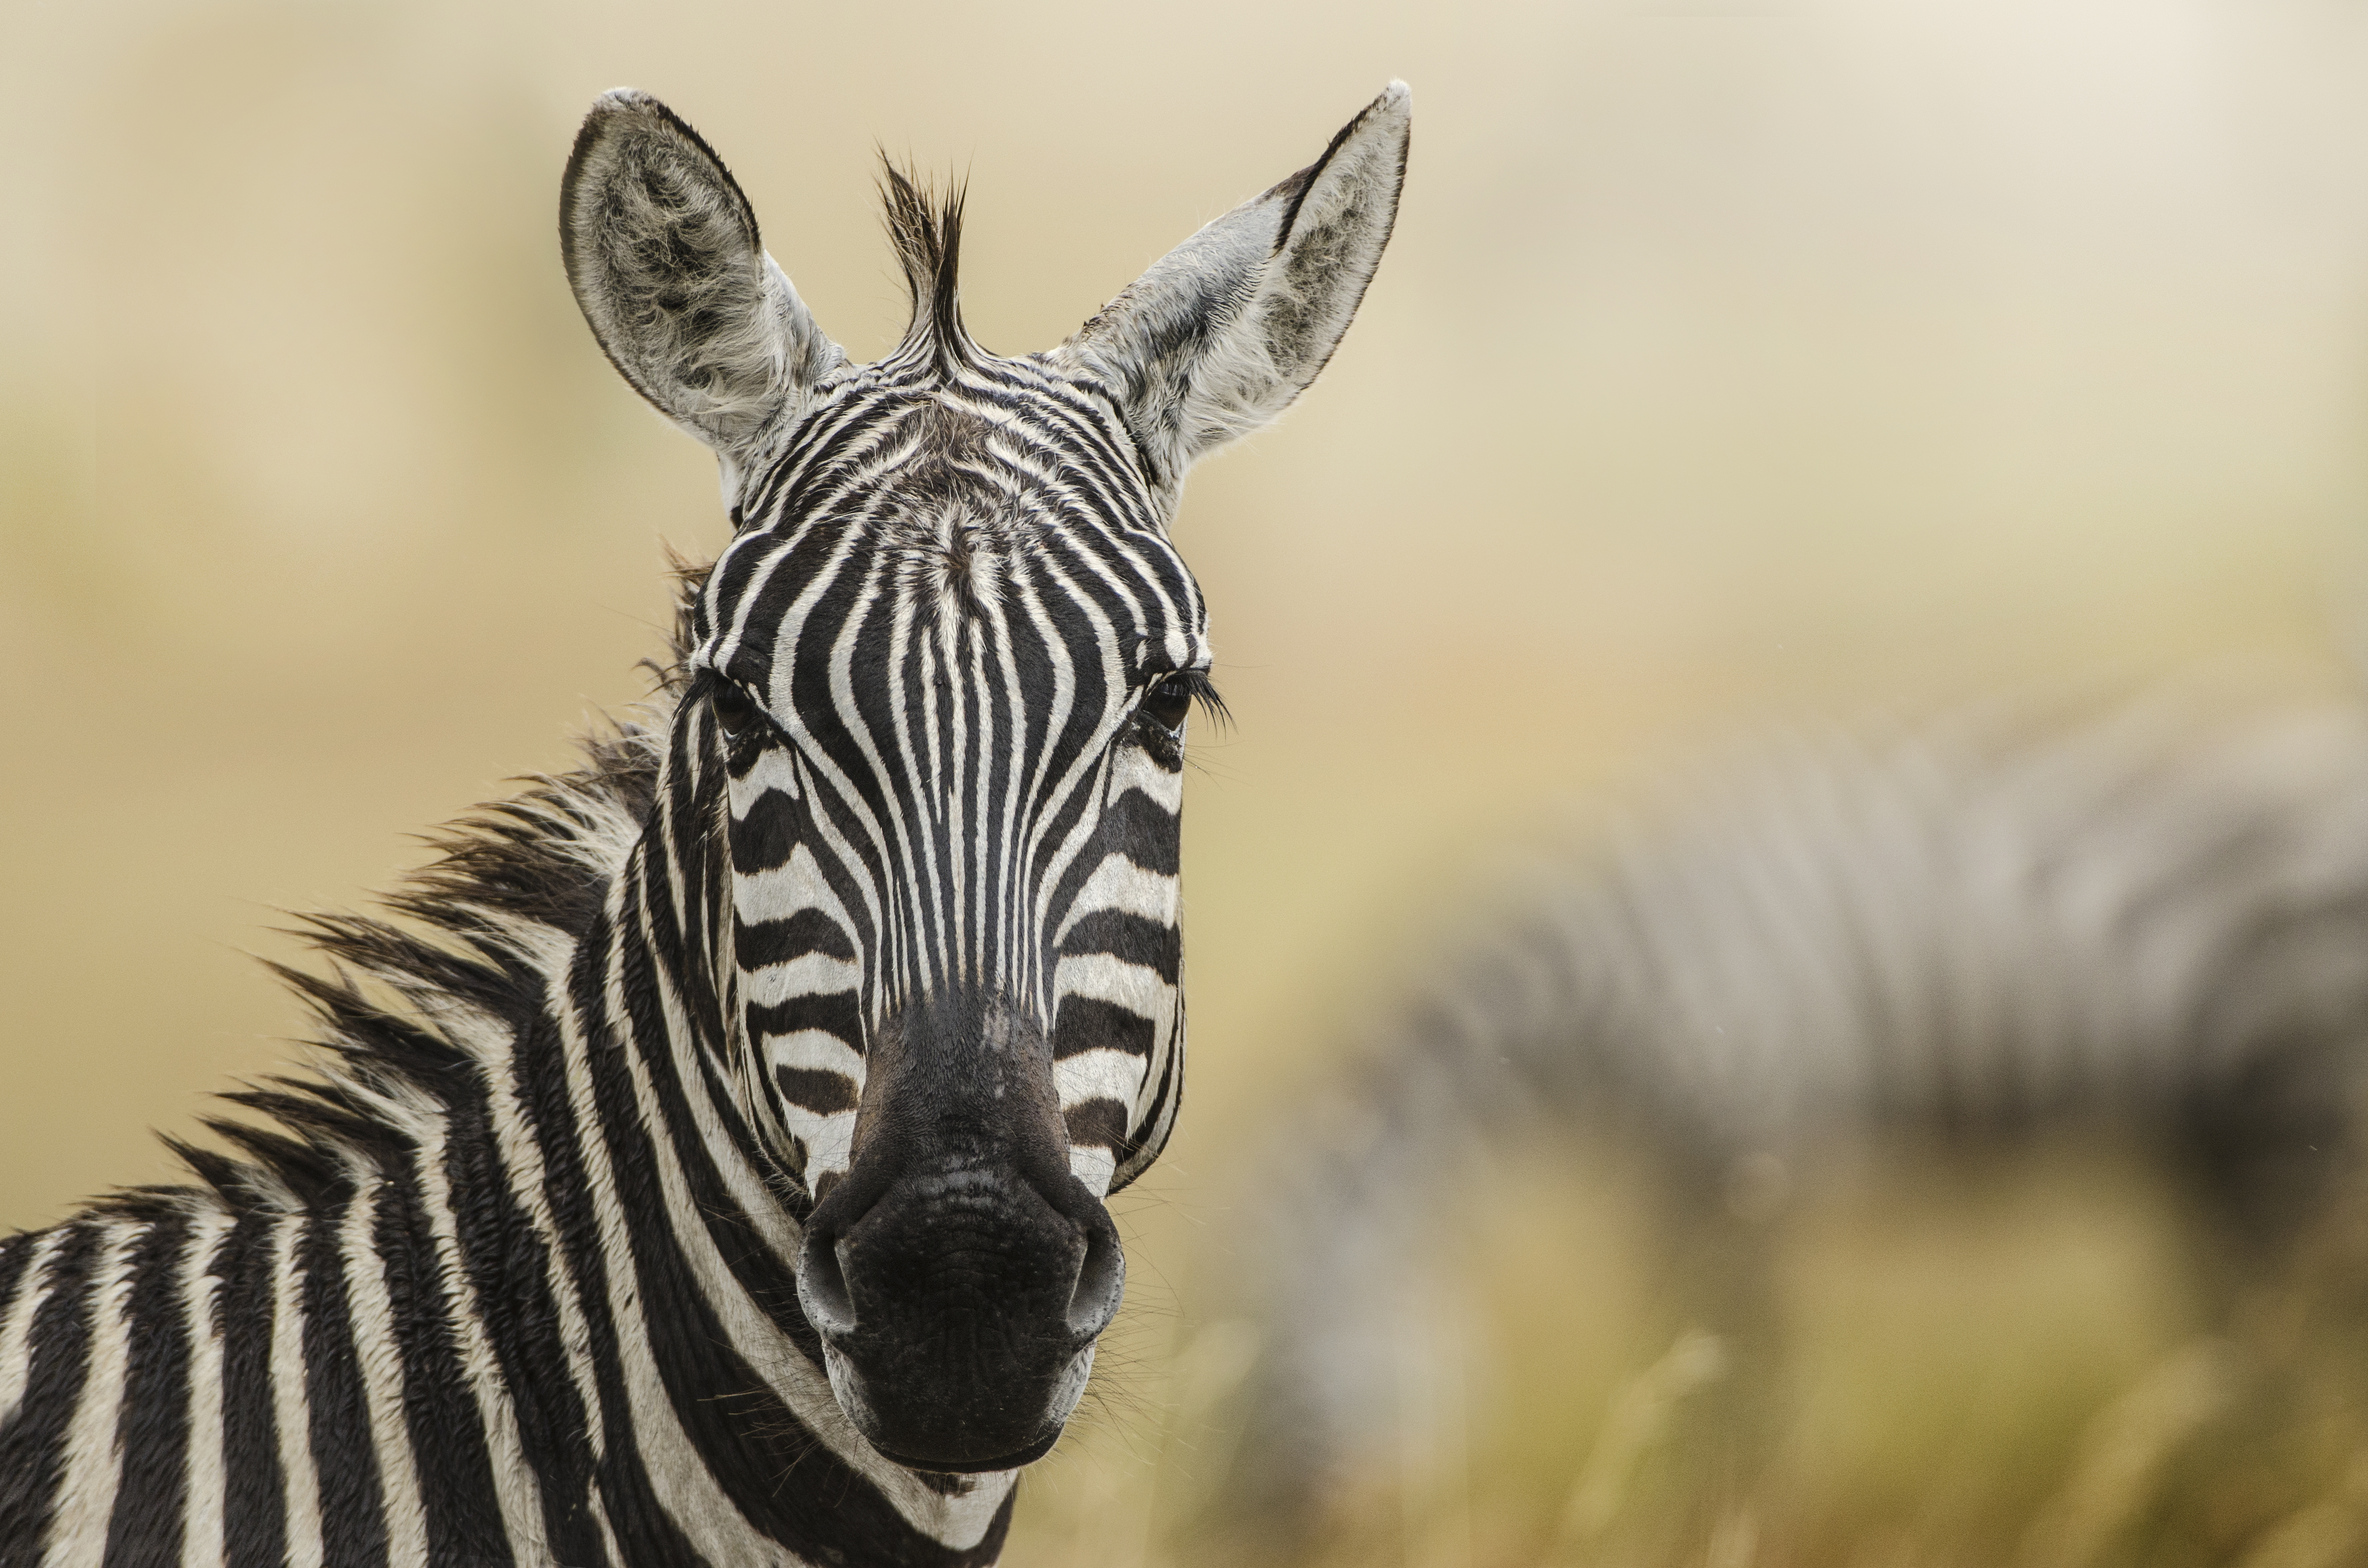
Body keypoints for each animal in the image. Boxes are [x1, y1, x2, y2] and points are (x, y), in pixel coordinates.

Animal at [1219, 686, 2368, 1524]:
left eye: (1268, 1390)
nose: (1240, 1533)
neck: (1583, 986)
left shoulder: (1739, 1143)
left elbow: (1742, 1352)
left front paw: (1742, 1501)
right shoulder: (1661, 1170)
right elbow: (1682, 1343)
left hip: (2295, 1109)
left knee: (2293, 1317)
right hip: (2223, 1137)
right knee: (2246, 1333)